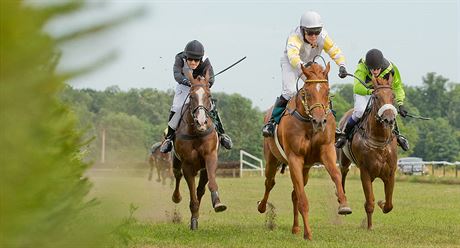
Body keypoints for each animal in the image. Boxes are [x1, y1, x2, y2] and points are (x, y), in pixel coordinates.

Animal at [171, 69, 226, 230]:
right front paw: (193, 222)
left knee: (200, 190)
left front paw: (218, 203)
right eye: (191, 96)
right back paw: (176, 197)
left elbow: (210, 184)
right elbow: (192, 196)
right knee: (177, 175)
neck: (196, 132)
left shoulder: (210, 157)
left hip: (202, 169)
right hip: (176, 161)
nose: (201, 122)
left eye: (209, 95)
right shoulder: (187, 165)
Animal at [256, 62, 350, 240]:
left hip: (305, 169)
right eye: (307, 92)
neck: (308, 123)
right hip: (272, 159)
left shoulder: (326, 150)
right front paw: (308, 233)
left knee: (294, 194)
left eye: (327, 91)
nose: (320, 121)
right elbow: (303, 200)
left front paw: (343, 204)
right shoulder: (295, 158)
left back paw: (295, 228)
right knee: (269, 182)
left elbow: (336, 175)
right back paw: (262, 206)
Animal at [336, 74, 398, 230]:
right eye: (375, 96)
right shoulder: (365, 172)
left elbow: (389, 205)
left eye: (393, 96)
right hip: (344, 160)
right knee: (342, 174)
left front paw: (382, 202)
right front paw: (369, 227)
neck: (379, 141)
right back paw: (342, 204)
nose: (389, 119)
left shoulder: (390, 173)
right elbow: (369, 202)